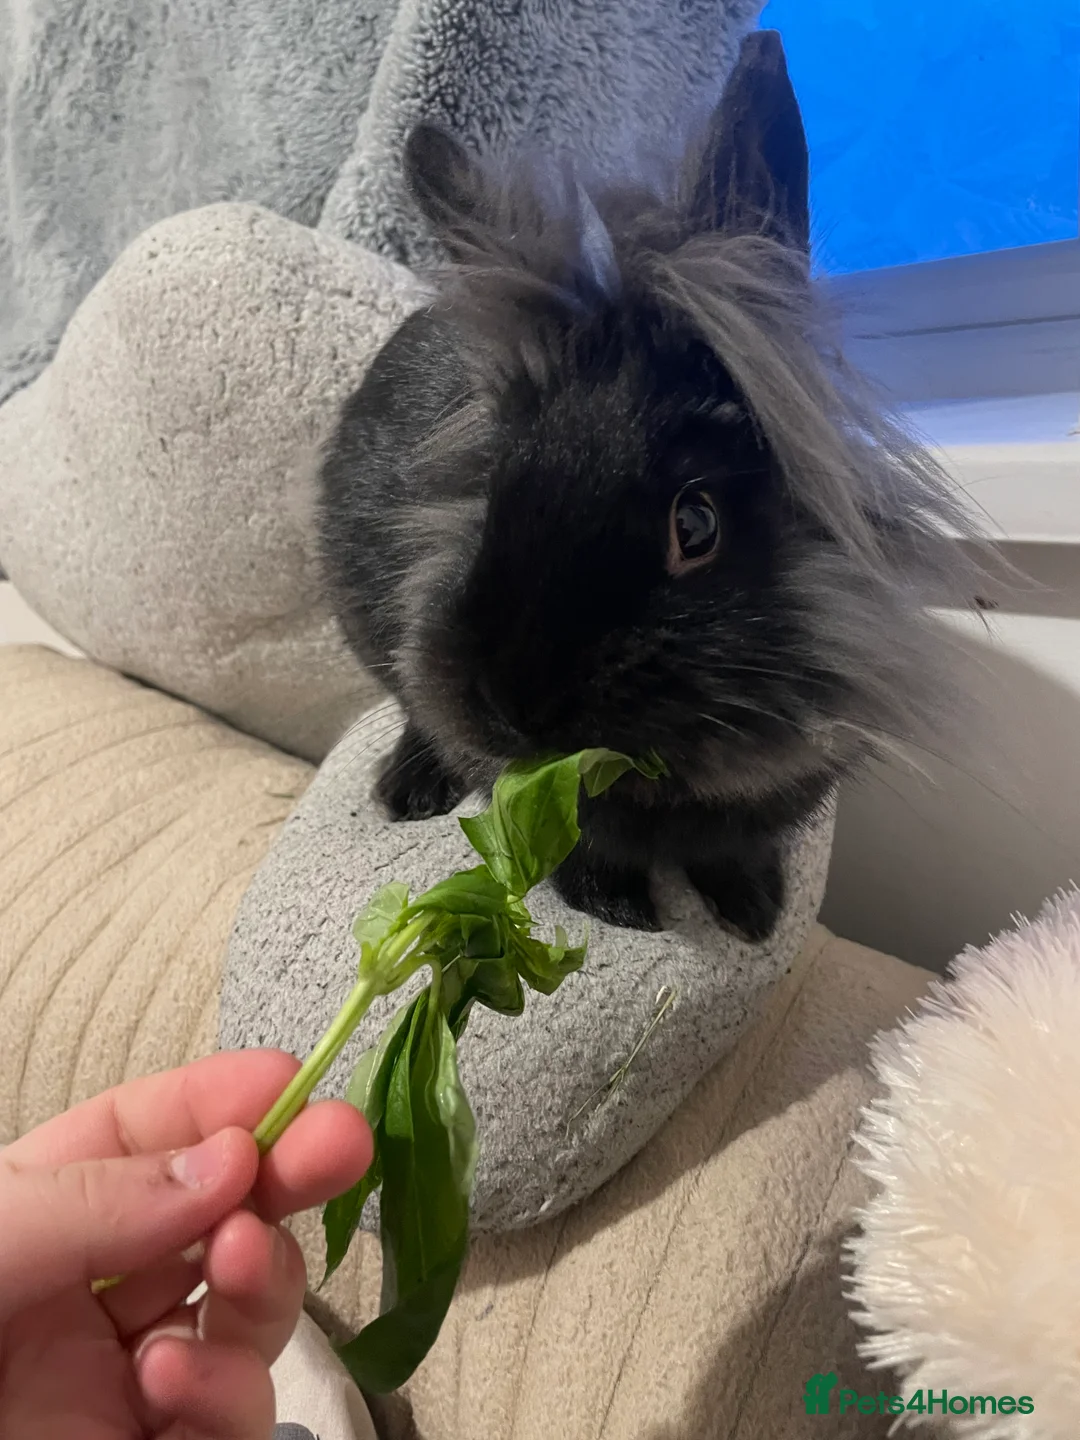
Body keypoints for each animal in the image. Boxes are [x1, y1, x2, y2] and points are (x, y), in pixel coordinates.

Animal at [317, 30, 976, 939]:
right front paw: (628, 914)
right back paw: (407, 791)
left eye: (695, 525)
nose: (511, 706)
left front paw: (754, 916)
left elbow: (735, 851)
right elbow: (582, 851)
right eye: (493, 489)